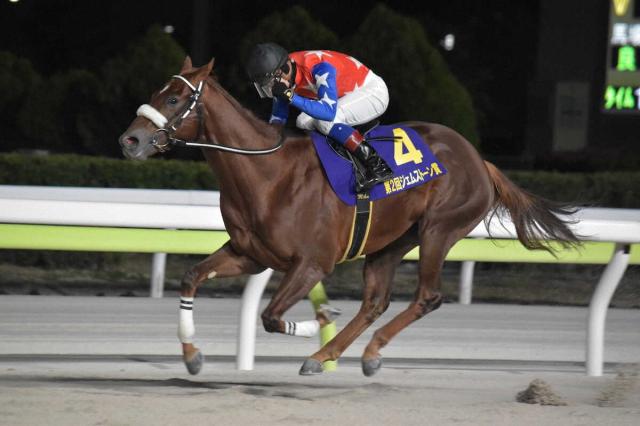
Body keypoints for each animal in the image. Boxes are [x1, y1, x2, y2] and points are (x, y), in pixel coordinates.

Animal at [119, 57, 579, 377]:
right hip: (391, 242)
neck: (267, 174)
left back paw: (356, 352)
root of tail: (480, 160)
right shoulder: (251, 255)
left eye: (174, 99)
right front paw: (193, 356)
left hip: (439, 229)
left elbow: (271, 317)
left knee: (427, 296)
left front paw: (319, 319)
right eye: (157, 92)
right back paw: (332, 356)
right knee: (375, 301)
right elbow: (191, 278)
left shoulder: (312, 263)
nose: (130, 140)